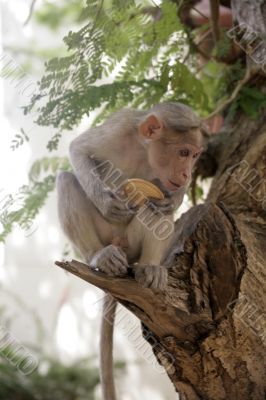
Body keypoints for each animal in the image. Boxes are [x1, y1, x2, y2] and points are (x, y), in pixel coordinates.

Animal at [55, 102, 202, 400]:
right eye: (183, 152)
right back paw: (100, 256)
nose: (185, 174)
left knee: (151, 205)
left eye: (194, 155)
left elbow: (164, 202)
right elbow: (79, 148)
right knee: (66, 179)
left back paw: (150, 266)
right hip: (105, 236)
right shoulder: (120, 127)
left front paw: (176, 198)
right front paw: (105, 201)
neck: (145, 153)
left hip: (133, 245)